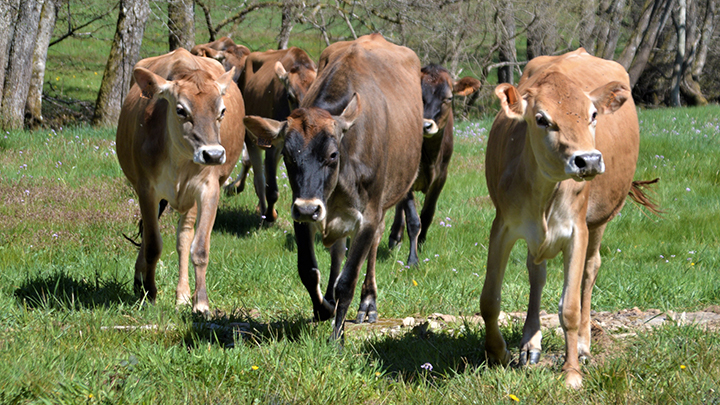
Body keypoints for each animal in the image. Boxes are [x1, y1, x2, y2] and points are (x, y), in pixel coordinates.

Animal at [116, 49, 245, 314]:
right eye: (181, 110)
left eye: (222, 111)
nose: (213, 154)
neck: (179, 160)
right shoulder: (146, 189)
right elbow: (153, 245)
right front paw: (150, 292)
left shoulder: (209, 189)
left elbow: (200, 248)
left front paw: (201, 303)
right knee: (151, 236)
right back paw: (140, 281)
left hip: (190, 199)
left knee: (184, 238)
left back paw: (183, 294)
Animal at [224, 48, 316, 223]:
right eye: (290, 96)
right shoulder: (273, 145)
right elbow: (271, 189)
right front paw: (270, 216)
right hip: (251, 137)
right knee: (259, 178)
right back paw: (261, 209)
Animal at [243, 34, 422, 338]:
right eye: (287, 156)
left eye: (332, 155)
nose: (309, 209)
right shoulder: (302, 213)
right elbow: (308, 269)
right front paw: (323, 308)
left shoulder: (368, 216)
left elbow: (348, 281)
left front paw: (337, 338)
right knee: (338, 251)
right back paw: (328, 296)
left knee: (372, 250)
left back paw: (368, 303)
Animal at [386, 63, 480, 266]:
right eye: (418, 95)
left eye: (448, 98)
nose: (425, 125)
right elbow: (414, 220)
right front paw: (413, 260)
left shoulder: (441, 177)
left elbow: (427, 214)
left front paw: (421, 246)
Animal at [478, 48, 660, 388]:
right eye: (541, 119)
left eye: (593, 115)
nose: (587, 159)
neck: (543, 193)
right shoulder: (503, 226)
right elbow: (490, 299)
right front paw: (498, 353)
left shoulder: (577, 230)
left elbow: (570, 308)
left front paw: (571, 371)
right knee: (536, 273)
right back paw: (531, 344)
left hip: (600, 219)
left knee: (590, 270)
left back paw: (585, 346)